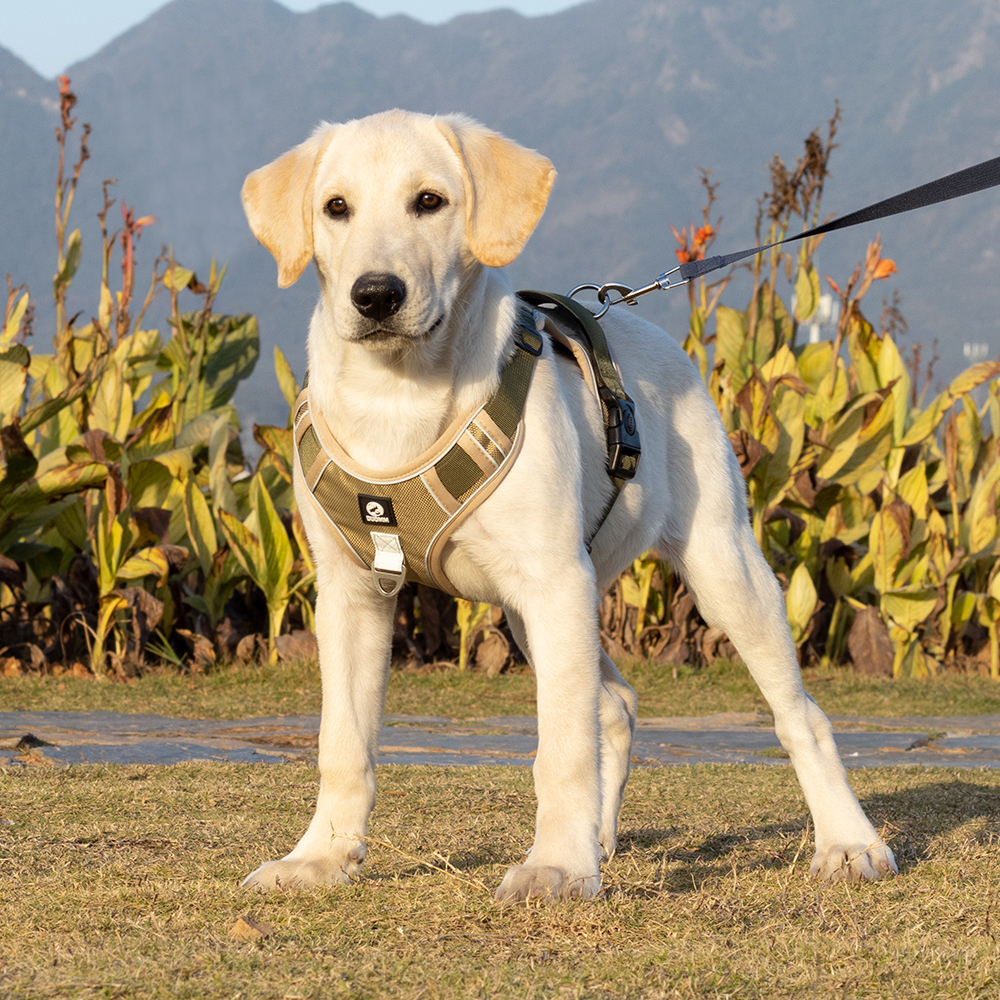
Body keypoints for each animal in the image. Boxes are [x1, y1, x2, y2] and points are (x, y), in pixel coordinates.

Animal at [238, 109, 896, 900]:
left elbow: (562, 749)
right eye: (335, 207)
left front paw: (555, 864)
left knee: (800, 717)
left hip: (721, 569)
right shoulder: (351, 592)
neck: (398, 399)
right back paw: (600, 839)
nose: (375, 295)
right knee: (615, 704)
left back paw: (849, 843)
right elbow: (344, 743)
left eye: (429, 201)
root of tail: (639, 324)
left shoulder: (555, 582)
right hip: (538, 609)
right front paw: (322, 857)